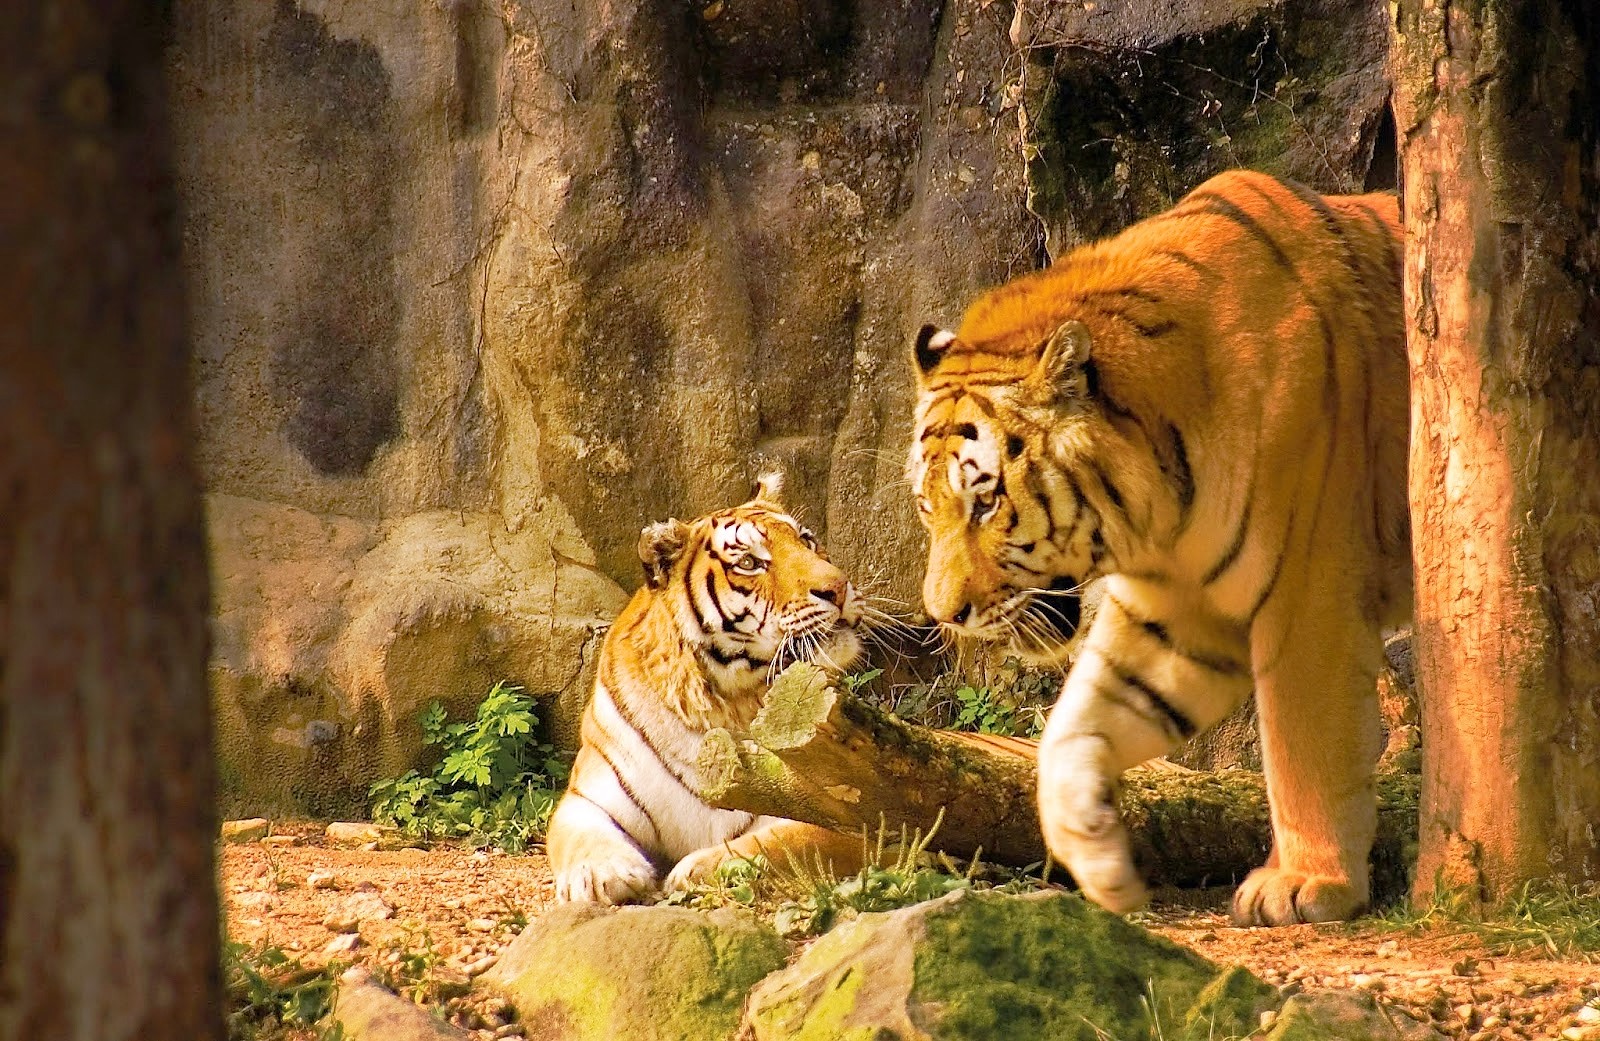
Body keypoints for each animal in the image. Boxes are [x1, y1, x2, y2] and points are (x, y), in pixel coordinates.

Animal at [547, 475, 869, 904]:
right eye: (749, 562)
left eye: (808, 541)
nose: (838, 587)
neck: (724, 701)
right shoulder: (586, 798)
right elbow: (582, 837)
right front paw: (601, 873)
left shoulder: (852, 817)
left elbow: (785, 841)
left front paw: (700, 869)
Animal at [907, 169, 1410, 926]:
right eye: (926, 505)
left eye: (986, 501)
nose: (944, 617)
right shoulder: (1174, 614)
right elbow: (1071, 730)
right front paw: (1097, 856)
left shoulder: (1309, 594)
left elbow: (1303, 745)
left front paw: (1305, 884)